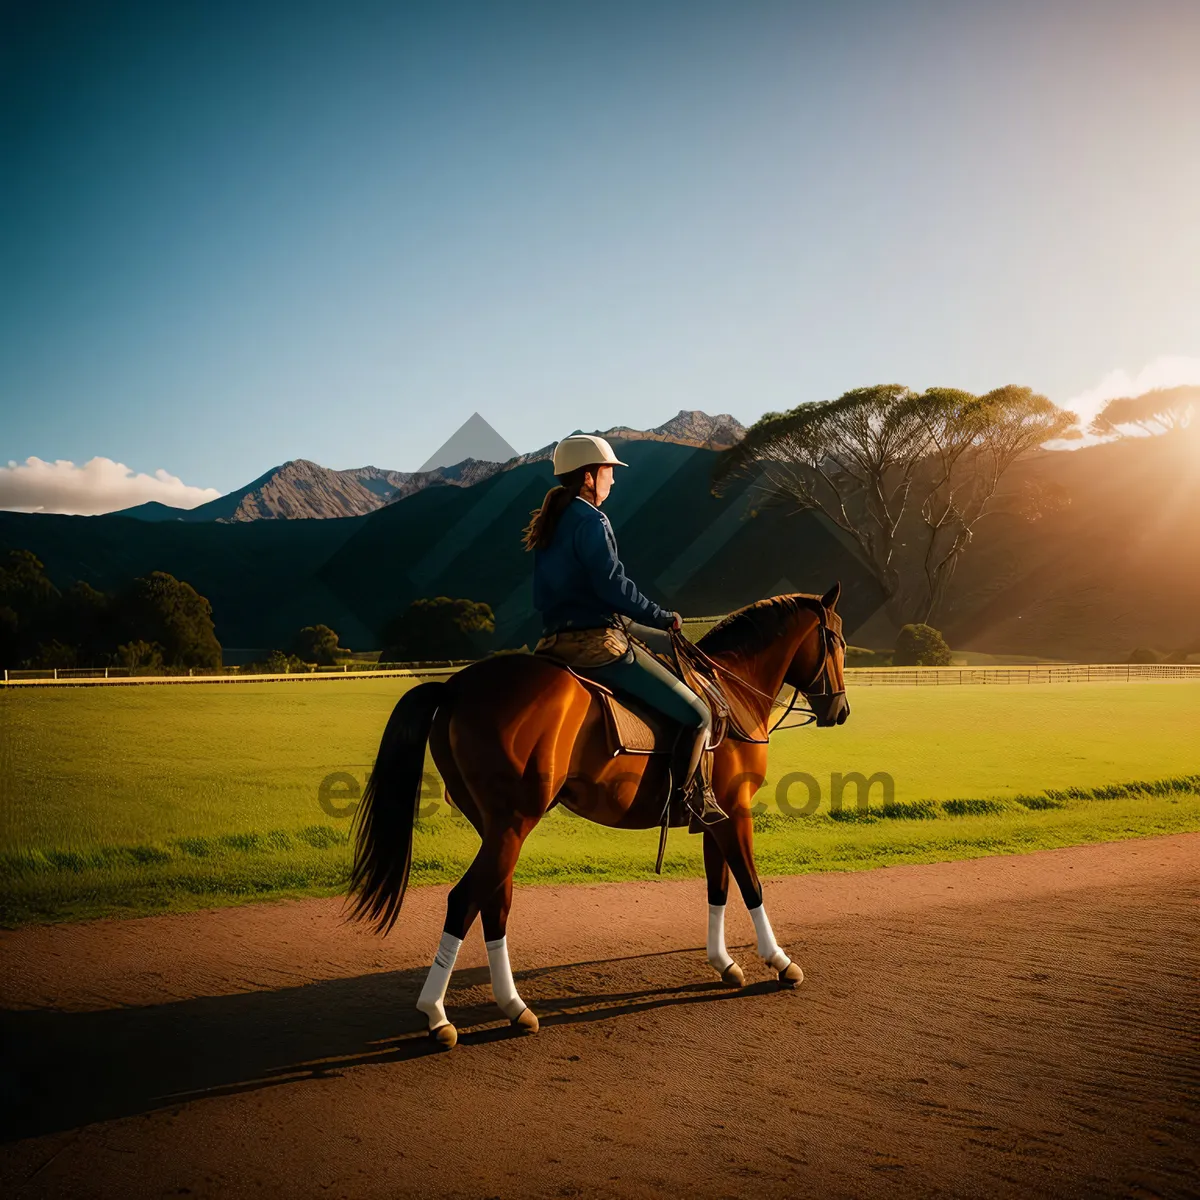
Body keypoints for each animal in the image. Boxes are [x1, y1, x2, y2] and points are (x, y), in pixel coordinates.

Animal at [345, 585, 854, 1046]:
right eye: (837, 643)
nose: (841, 710)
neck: (731, 689)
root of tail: (455, 687)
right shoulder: (737, 810)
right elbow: (750, 884)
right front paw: (780, 961)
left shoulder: (716, 818)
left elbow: (718, 887)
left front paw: (724, 963)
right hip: (513, 823)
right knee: (463, 900)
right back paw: (437, 1014)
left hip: (498, 828)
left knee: (493, 902)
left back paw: (513, 1007)